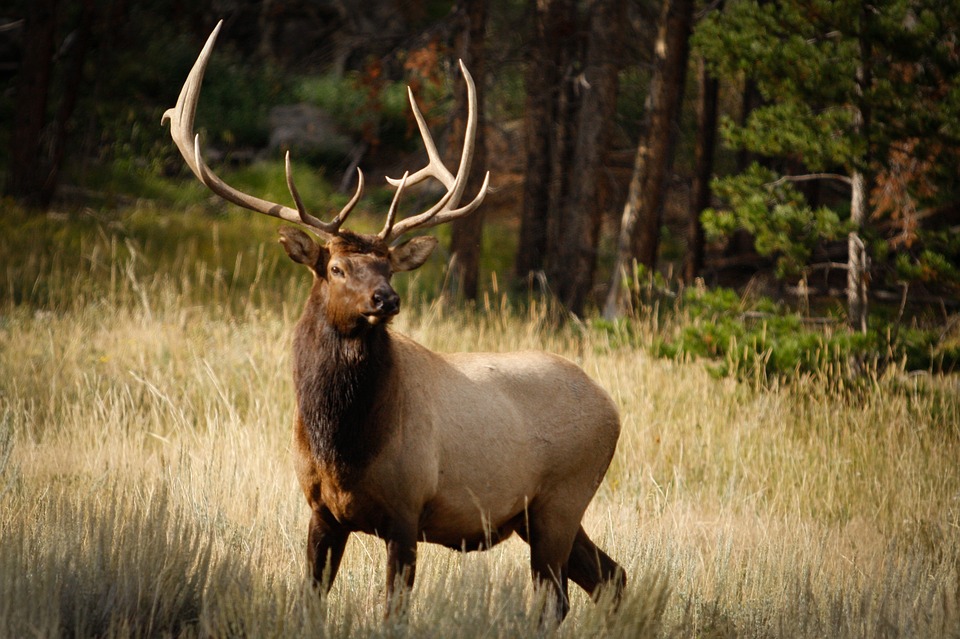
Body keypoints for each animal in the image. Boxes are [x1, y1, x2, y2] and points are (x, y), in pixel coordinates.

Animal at [163, 22, 632, 624]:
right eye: (336, 267)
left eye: (387, 265)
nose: (386, 298)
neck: (344, 446)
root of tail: (611, 407)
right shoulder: (321, 511)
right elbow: (310, 600)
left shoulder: (408, 510)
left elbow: (394, 612)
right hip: (540, 515)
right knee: (612, 577)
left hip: (562, 498)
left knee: (558, 599)